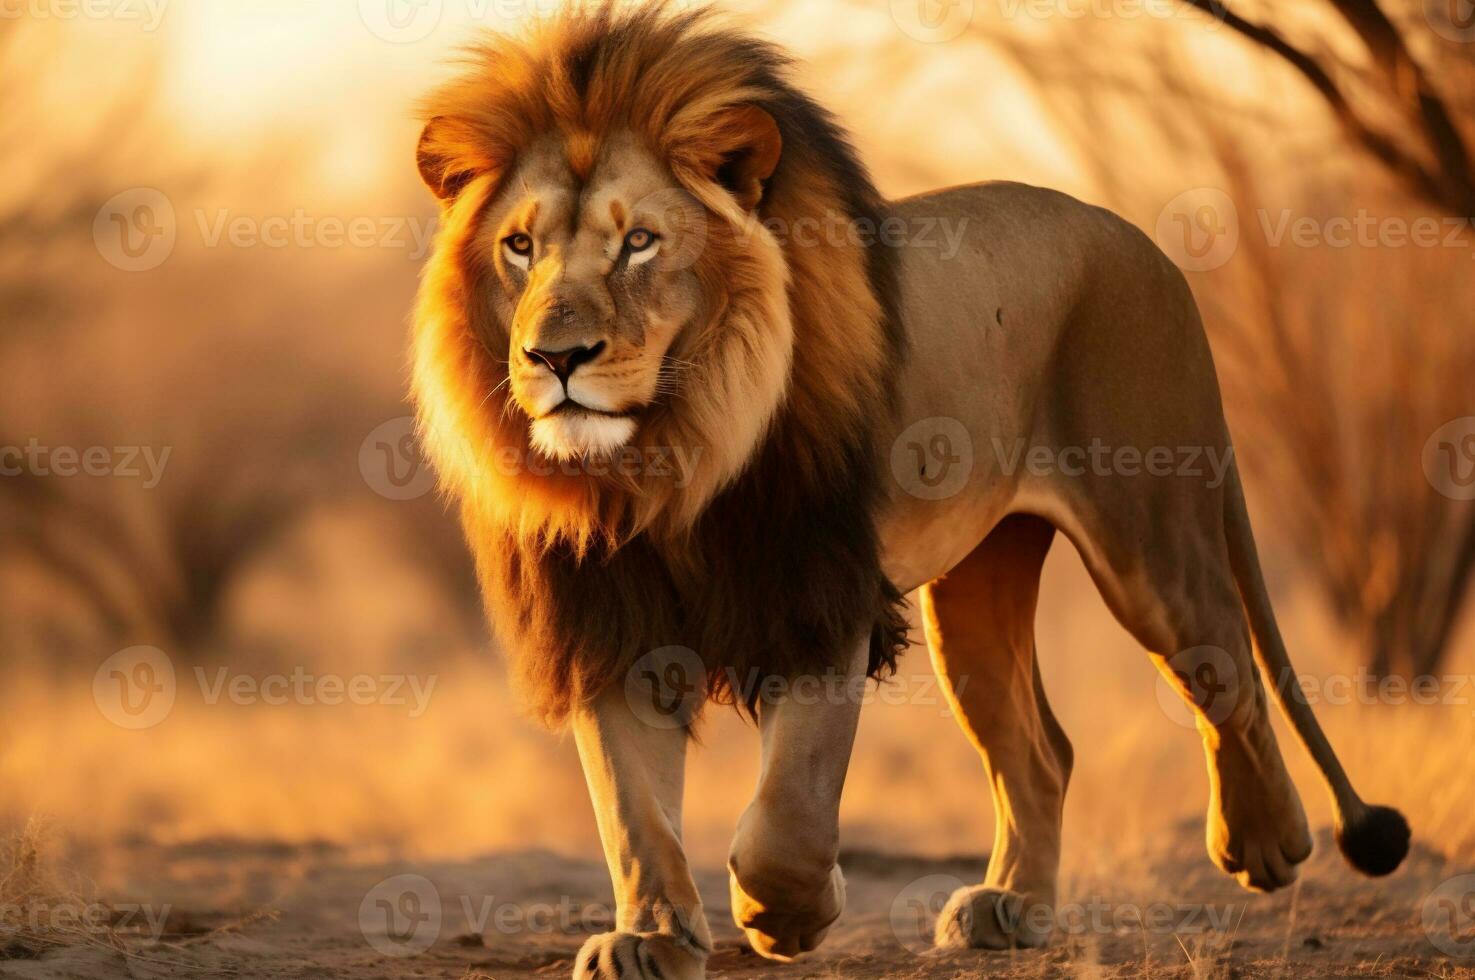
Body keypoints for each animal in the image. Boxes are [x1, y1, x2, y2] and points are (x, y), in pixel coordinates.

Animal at [410, 5, 1410, 974]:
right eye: (519, 248)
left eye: (639, 244)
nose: (554, 357)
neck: (667, 461)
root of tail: (1139, 240)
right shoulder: (605, 619)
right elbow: (631, 810)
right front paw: (651, 938)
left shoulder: (820, 597)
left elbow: (788, 809)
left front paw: (789, 913)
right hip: (976, 588)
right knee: (1040, 749)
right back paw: (1013, 908)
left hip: (1148, 536)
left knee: (1225, 669)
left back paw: (1267, 842)